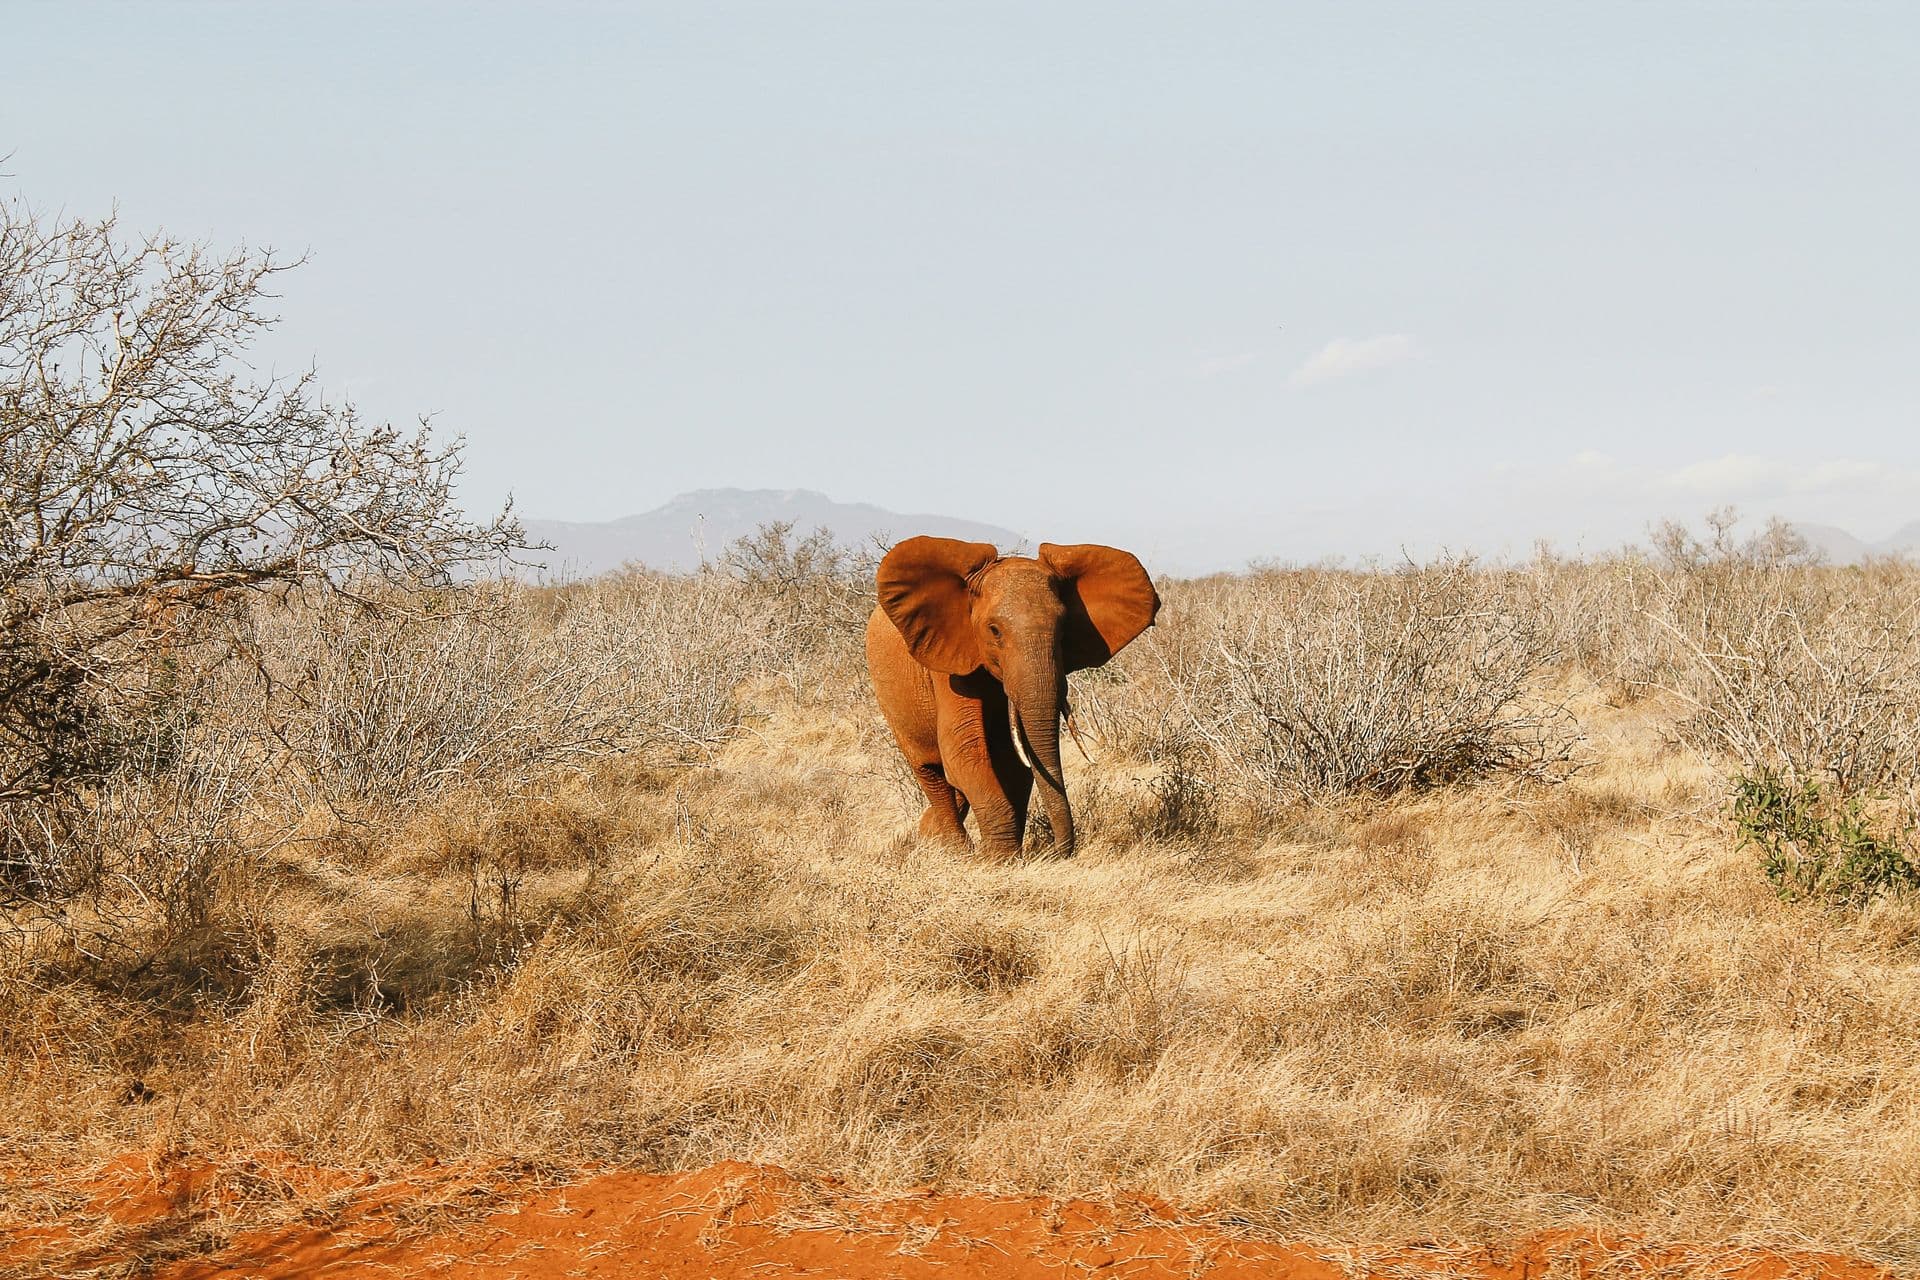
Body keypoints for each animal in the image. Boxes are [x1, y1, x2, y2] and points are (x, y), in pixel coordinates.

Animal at [865, 536, 1160, 860]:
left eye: (1063, 629)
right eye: (994, 631)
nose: (1057, 852)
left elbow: (1016, 760)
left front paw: (1008, 855)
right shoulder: (950, 661)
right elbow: (964, 749)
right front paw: (998, 859)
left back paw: (928, 832)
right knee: (931, 773)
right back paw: (954, 850)